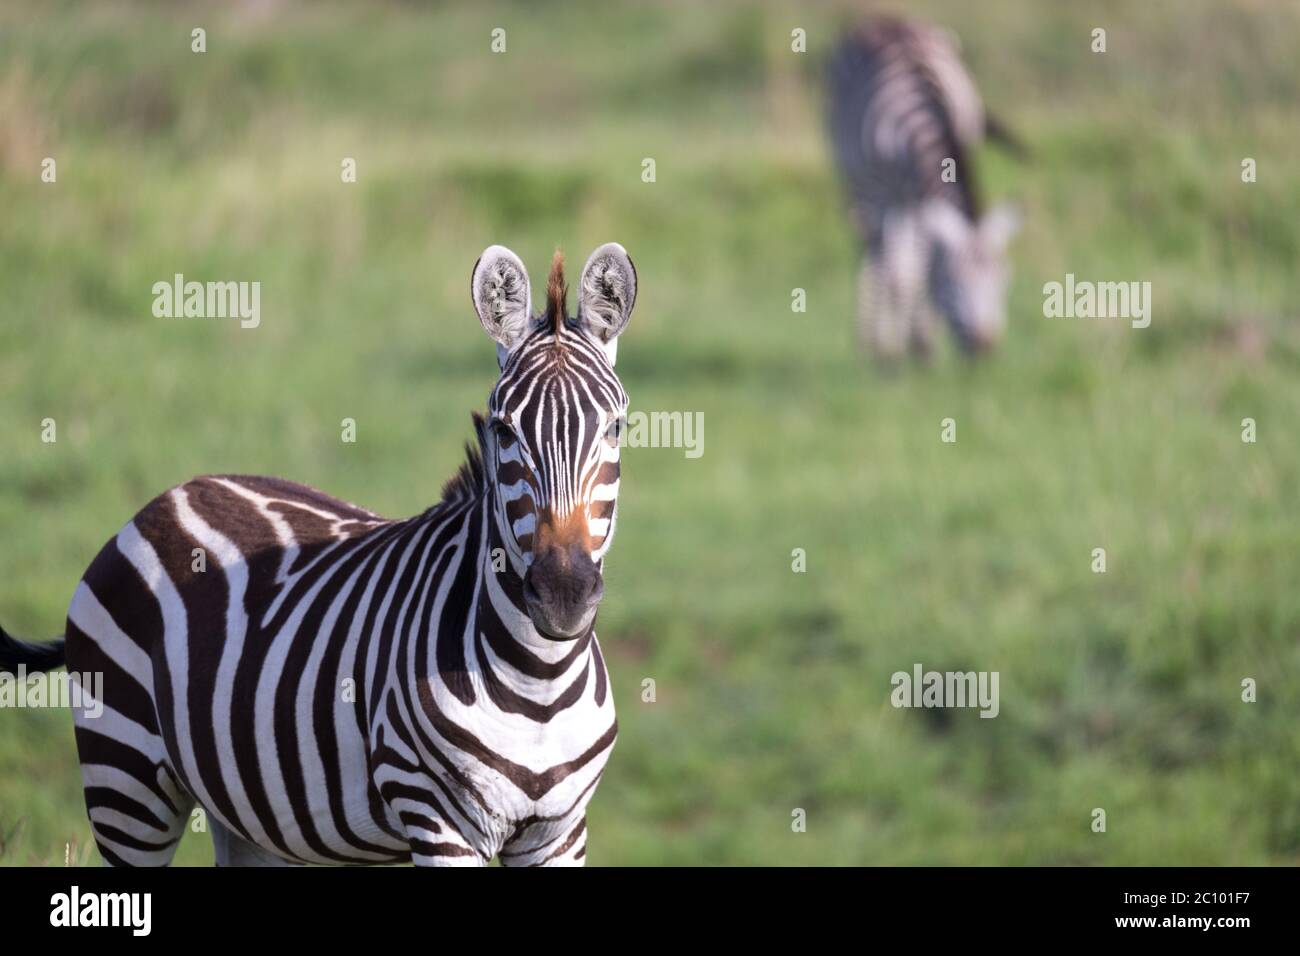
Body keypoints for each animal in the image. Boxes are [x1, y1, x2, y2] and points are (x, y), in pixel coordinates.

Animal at [0, 242, 638, 867]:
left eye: (616, 427)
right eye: (505, 432)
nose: (563, 595)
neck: (538, 682)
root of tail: (169, 496)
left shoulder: (560, 832)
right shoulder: (437, 820)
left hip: (244, 812)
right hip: (124, 776)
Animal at [828, 16, 1022, 360]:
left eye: (1003, 279)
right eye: (953, 279)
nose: (984, 345)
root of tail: (887, 19)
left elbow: (922, 260)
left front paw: (924, 342)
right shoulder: (882, 190)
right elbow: (901, 271)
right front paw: (897, 353)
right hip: (861, 184)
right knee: (875, 252)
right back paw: (872, 343)